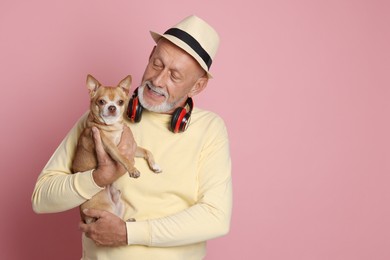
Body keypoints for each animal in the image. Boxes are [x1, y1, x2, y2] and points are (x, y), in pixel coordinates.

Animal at [71, 74, 160, 223]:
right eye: (101, 102)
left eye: (120, 102)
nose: (112, 107)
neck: (113, 127)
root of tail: (86, 218)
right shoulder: (111, 147)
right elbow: (123, 157)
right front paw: (133, 170)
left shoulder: (133, 148)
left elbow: (147, 151)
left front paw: (155, 165)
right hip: (105, 207)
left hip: (119, 203)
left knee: (119, 220)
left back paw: (129, 221)